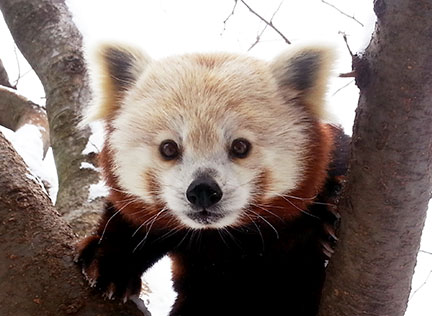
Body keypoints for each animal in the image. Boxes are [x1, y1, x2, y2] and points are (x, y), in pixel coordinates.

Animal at [76, 43, 350, 316]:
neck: (225, 236)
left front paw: (328, 218)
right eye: (169, 148)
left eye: (240, 146)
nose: (203, 191)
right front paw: (109, 261)